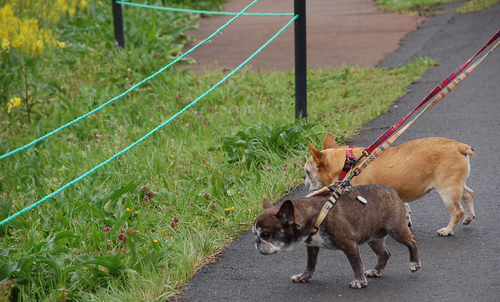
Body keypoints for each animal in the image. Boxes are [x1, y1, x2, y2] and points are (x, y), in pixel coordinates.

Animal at [304, 134, 476, 236]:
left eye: (306, 172)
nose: (304, 180)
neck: (348, 163)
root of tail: (459, 146)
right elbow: (405, 207)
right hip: (455, 184)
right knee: (468, 194)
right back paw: (468, 217)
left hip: (447, 190)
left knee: (457, 211)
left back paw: (448, 230)